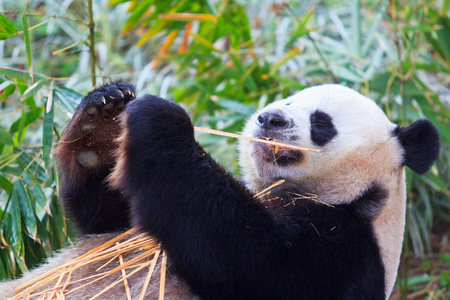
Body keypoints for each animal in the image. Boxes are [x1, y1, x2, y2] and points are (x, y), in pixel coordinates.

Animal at [0, 82, 440, 300]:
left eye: (321, 122)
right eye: (287, 99)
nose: (270, 118)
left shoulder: (345, 254)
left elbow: (249, 260)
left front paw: (162, 119)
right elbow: (107, 216)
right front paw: (102, 117)